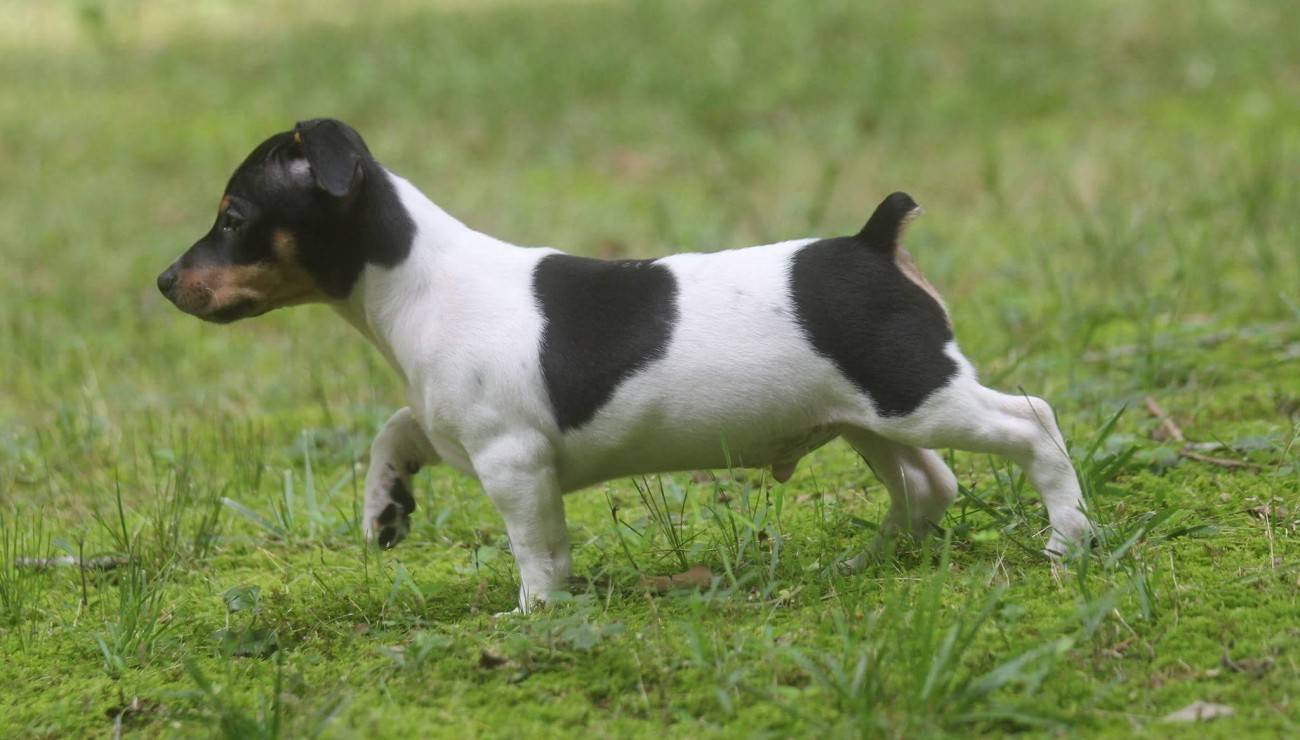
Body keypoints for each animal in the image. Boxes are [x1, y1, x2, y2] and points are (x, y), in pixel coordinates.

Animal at [157, 118, 1086, 608]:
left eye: (233, 215)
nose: (164, 281)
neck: (418, 278)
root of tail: (873, 240)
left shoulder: (513, 464)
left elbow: (539, 550)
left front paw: (535, 614)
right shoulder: (452, 428)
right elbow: (395, 431)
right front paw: (386, 509)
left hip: (917, 393)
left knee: (1032, 424)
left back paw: (1068, 539)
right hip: (869, 417)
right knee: (928, 486)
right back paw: (863, 565)